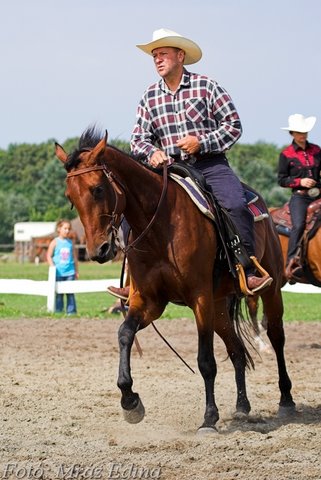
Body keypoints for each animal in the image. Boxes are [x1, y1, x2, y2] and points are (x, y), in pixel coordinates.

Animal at [54, 126, 296, 432]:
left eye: (97, 189)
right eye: (70, 196)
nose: (99, 250)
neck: (161, 227)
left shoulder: (199, 298)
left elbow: (206, 361)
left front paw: (209, 418)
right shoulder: (149, 301)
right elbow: (124, 334)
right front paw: (130, 401)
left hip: (269, 290)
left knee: (276, 337)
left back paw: (286, 400)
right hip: (219, 306)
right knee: (237, 350)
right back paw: (242, 407)